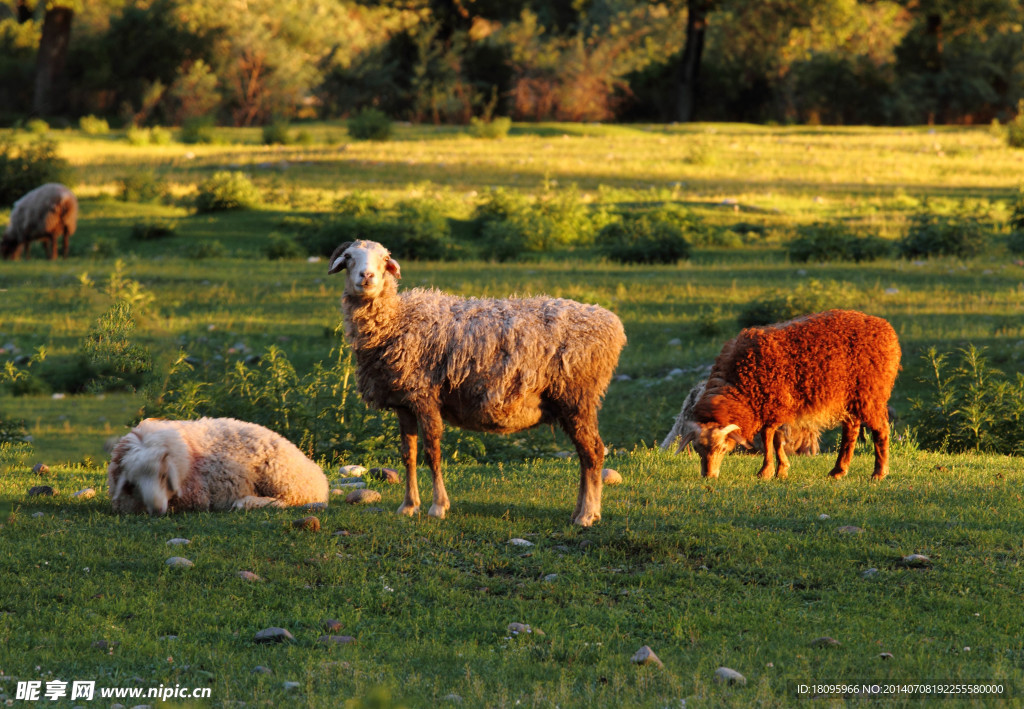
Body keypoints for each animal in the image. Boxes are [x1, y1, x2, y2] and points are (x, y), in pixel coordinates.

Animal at [107, 415, 327, 514]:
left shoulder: (196, 494)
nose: (157, 509)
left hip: (280, 476)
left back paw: (246, 502)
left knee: (288, 500)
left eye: (163, 475)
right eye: (134, 482)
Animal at [327, 239, 622, 524]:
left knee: (594, 451)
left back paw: (587, 515)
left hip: (577, 396)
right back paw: (581, 511)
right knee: (585, 454)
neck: (397, 319)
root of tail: (612, 324)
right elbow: (408, 455)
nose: (367, 276)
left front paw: (438, 507)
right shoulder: (404, 403)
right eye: (349, 257)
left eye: (385, 259)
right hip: (569, 403)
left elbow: (432, 452)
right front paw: (408, 506)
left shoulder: (425, 396)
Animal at [684, 311, 901, 481]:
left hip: (871, 392)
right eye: (698, 449)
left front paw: (766, 471)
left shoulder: (771, 403)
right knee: (851, 430)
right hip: (851, 397)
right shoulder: (776, 405)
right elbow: (777, 439)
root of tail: (887, 330)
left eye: (722, 449)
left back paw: (879, 473)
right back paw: (838, 470)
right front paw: (781, 470)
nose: (709, 476)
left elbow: (767, 437)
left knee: (881, 429)